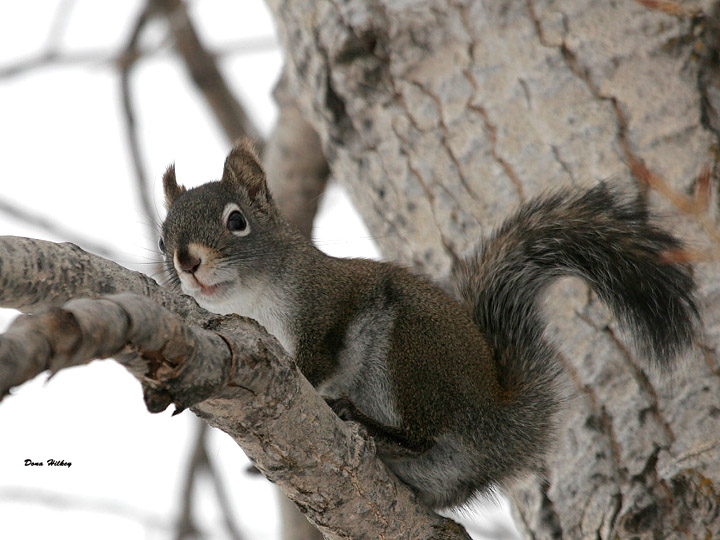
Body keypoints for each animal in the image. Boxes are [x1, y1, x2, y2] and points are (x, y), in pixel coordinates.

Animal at [158, 139, 696, 510]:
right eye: (163, 236)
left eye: (236, 221)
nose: (187, 260)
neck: (254, 299)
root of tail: (493, 418)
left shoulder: (326, 305)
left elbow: (316, 361)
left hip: (409, 353)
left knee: (422, 434)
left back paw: (365, 422)